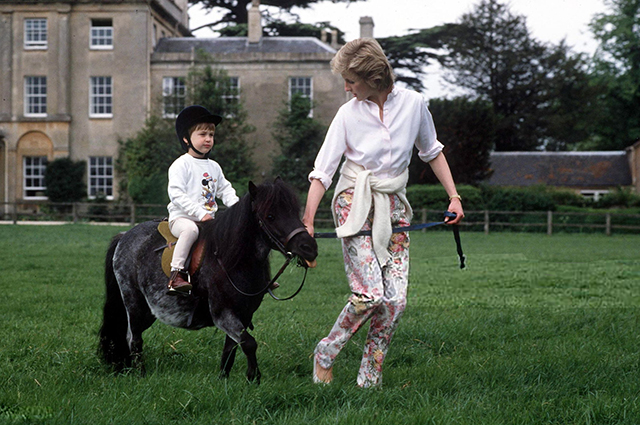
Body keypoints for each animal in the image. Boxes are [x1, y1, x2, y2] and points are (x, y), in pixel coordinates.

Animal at [99, 177, 318, 382]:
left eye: (294, 211)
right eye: (270, 216)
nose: (309, 248)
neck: (231, 261)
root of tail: (124, 235)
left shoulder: (244, 315)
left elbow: (231, 349)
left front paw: (225, 381)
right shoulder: (223, 314)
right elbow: (249, 343)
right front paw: (254, 378)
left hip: (148, 311)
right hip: (133, 302)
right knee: (133, 338)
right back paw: (141, 374)